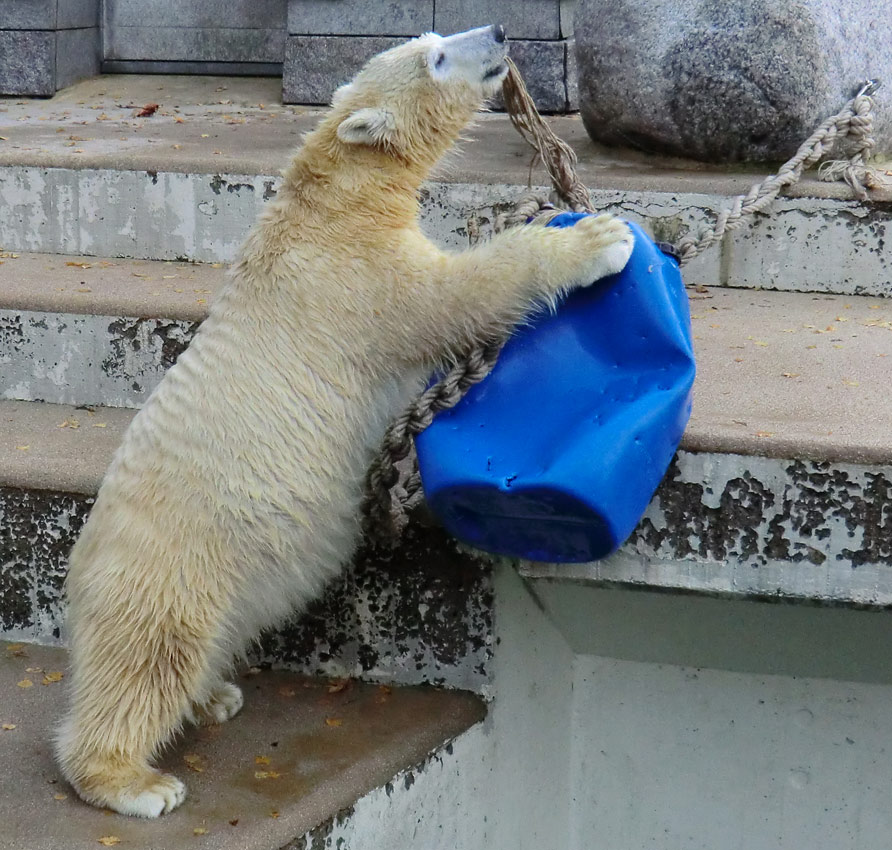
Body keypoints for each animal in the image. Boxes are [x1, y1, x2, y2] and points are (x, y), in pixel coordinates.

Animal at [54, 26, 636, 816]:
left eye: (435, 37)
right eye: (435, 58)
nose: (497, 33)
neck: (332, 195)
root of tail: (79, 574)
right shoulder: (356, 281)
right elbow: (456, 296)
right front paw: (598, 239)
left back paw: (215, 697)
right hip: (170, 564)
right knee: (148, 658)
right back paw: (134, 781)